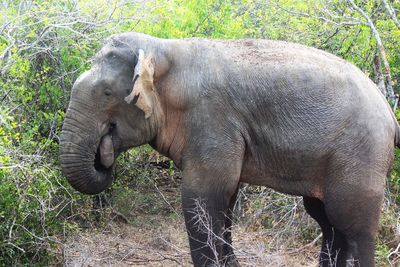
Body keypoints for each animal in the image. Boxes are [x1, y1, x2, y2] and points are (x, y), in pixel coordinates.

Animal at [60, 33, 400, 267]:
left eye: (106, 93)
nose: (104, 151)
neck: (165, 49)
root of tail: (390, 112)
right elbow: (225, 200)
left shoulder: (213, 119)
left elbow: (202, 198)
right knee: (327, 220)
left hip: (360, 153)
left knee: (354, 225)